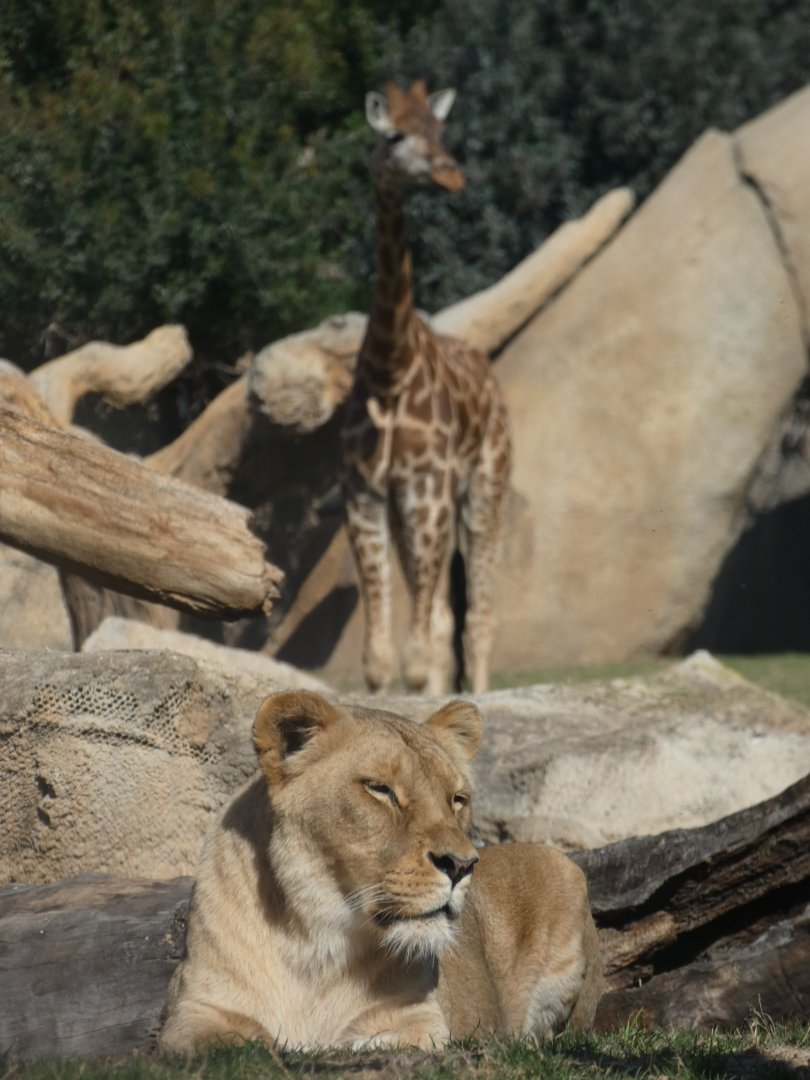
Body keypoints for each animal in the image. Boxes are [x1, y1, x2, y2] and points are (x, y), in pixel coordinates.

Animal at [158, 691, 603, 1053]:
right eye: (381, 790)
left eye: (457, 799)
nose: (463, 865)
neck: (312, 944)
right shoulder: (193, 1013)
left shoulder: (419, 1025)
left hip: (563, 870)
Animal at [341, 80, 512, 695]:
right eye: (394, 135)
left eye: (440, 131)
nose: (450, 174)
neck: (390, 370)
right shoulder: (365, 495)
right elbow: (379, 659)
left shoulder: (429, 490)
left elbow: (415, 657)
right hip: (409, 512)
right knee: (440, 615)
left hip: (484, 488)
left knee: (479, 614)